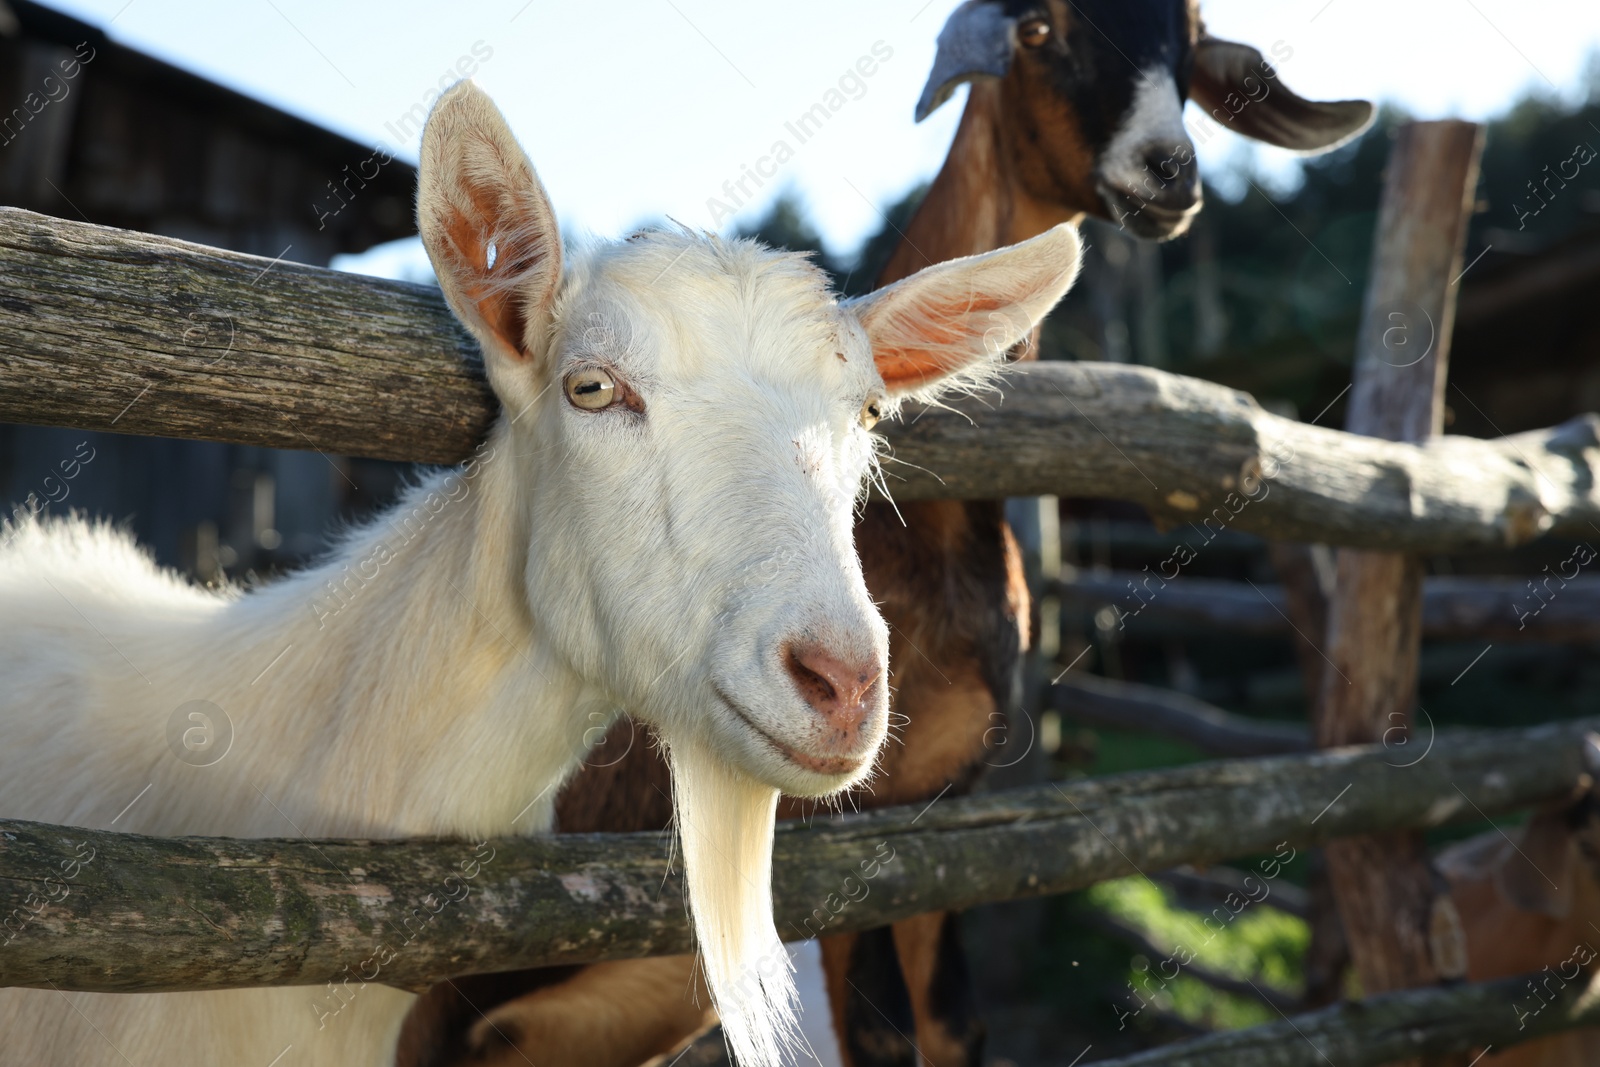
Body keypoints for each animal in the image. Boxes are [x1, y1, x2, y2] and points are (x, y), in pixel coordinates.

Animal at [400, 2, 1376, 1067]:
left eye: (1190, 50)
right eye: (1038, 31)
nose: (1167, 170)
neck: (935, 541)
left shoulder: (935, 826)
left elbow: (955, 1025)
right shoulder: (840, 837)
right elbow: (880, 1038)